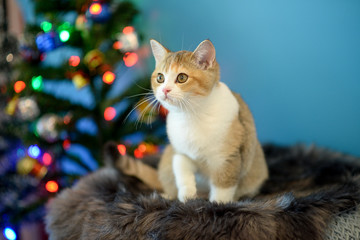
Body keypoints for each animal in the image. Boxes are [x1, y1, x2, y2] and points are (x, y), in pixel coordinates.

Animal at [148, 39, 268, 202]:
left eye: (182, 77)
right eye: (160, 78)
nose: (165, 90)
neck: (192, 116)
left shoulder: (227, 158)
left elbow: (223, 185)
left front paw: (218, 203)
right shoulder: (180, 152)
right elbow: (182, 171)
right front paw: (187, 196)